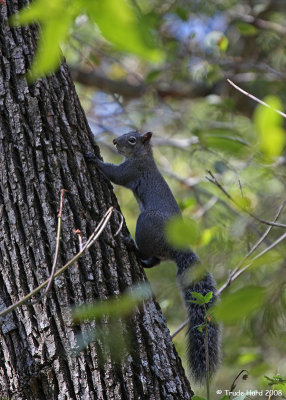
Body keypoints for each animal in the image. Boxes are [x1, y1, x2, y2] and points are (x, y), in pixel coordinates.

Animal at [86, 130, 220, 382]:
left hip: (146, 224)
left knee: (149, 252)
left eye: (132, 140)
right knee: (156, 260)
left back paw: (131, 244)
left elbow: (116, 175)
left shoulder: (134, 171)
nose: (114, 141)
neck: (144, 156)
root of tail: (177, 248)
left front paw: (94, 159)